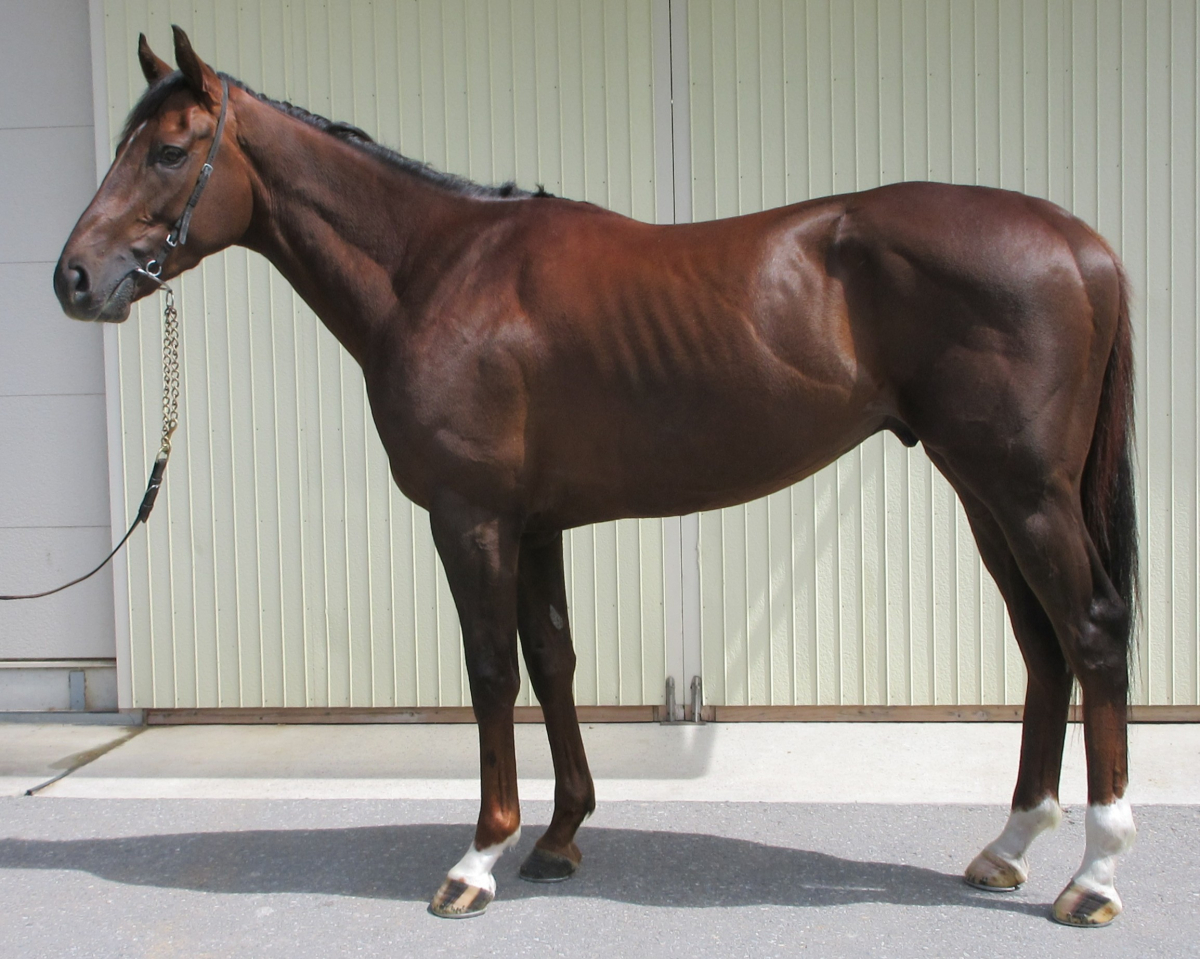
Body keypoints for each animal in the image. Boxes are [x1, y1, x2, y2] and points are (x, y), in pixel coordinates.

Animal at [55, 27, 1137, 926]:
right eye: (123, 144)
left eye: (168, 151)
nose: (73, 278)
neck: (436, 270)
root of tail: (1082, 243)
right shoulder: (535, 523)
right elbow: (554, 659)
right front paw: (561, 833)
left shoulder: (472, 518)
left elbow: (492, 672)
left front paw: (479, 857)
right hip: (985, 492)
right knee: (1042, 647)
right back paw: (1008, 846)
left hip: (1024, 493)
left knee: (1090, 635)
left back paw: (1094, 875)